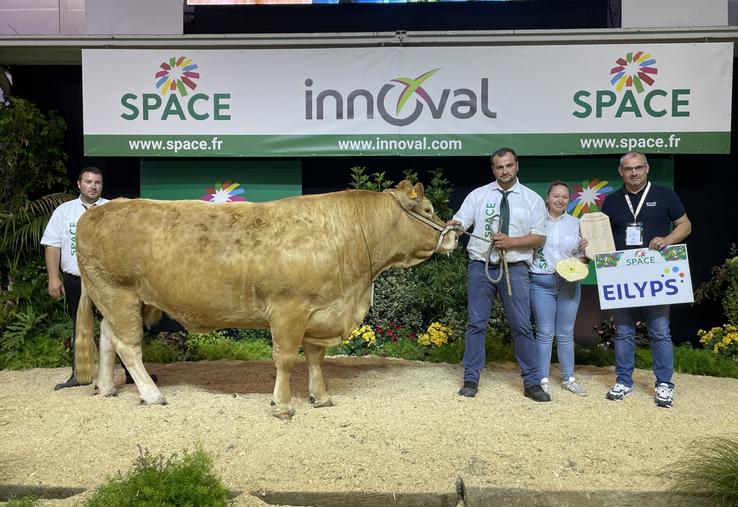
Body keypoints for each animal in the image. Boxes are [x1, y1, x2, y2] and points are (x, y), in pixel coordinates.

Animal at [73, 181, 454, 418]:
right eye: (429, 208)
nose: (457, 233)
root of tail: (96, 211)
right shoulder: (289, 308)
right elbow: (285, 359)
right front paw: (282, 405)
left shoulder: (318, 310)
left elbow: (315, 358)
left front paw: (320, 397)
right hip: (118, 291)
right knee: (127, 346)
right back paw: (152, 395)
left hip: (123, 298)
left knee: (107, 337)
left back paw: (106, 388)